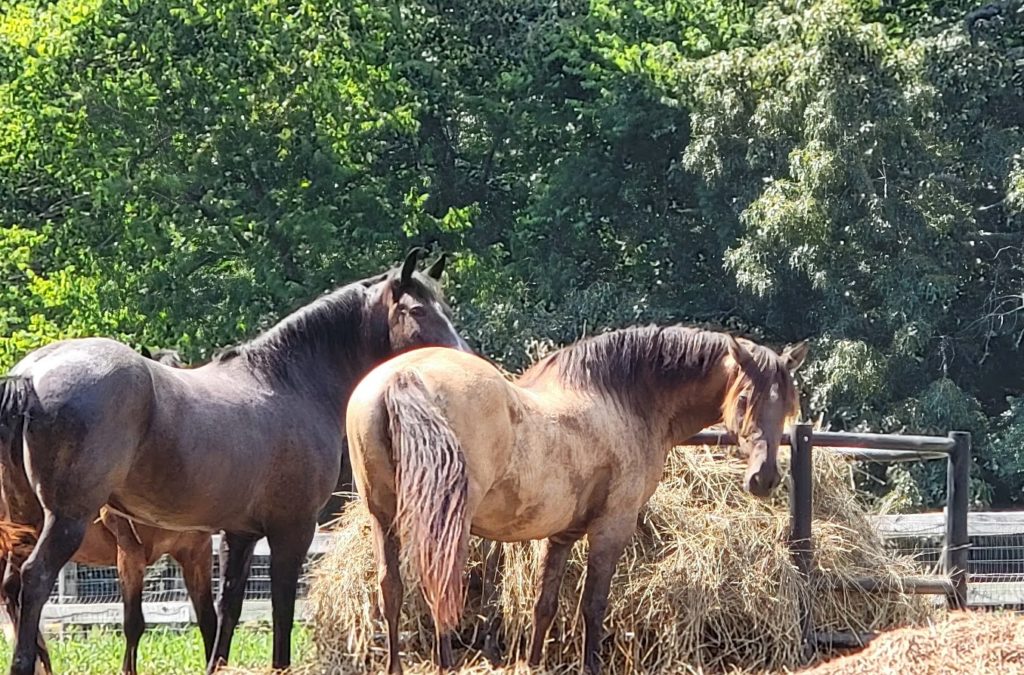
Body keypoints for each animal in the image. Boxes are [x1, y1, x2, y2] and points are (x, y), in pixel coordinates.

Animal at [0, 247, 471, 675]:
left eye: (445, 306)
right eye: (416, 309)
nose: (462, 357)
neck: (287, 383)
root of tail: (31, 373)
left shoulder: (238, 535)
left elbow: (226, 612)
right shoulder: (292, 530)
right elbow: (282, 608)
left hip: (29, 523)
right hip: (67, 519)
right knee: (34, 580)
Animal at [346, 325, 806, 671]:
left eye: (786, 405)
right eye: (744, 399)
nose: (764, 479)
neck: (624, 400)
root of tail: (404, 378)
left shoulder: (562, 535)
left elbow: (544, 605)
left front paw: (532, 664)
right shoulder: (611, 527)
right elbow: (593, 606)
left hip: (381, 517)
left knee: (391, 589)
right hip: (445, 523)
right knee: (438, 584)